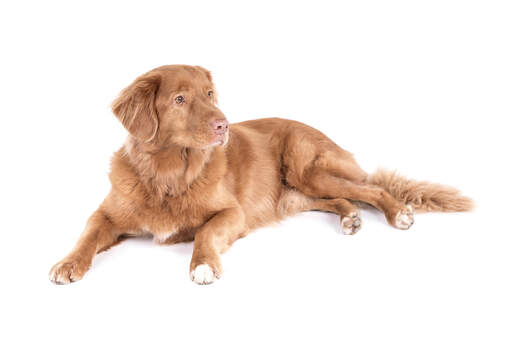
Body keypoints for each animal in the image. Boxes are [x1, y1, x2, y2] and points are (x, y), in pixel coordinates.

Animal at [48, 64, 472, 284]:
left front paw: (203, 265)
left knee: (370, 189)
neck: (169, 175)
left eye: (209, 95)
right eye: (180, 99)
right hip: (297, 195)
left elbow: (204, 232)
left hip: (308, 171)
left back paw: (398, 213)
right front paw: (68, 264)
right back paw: (350, 218)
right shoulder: (107, 214)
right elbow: (87, 234)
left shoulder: (231, 213)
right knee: (342, 198)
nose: (223, 125)